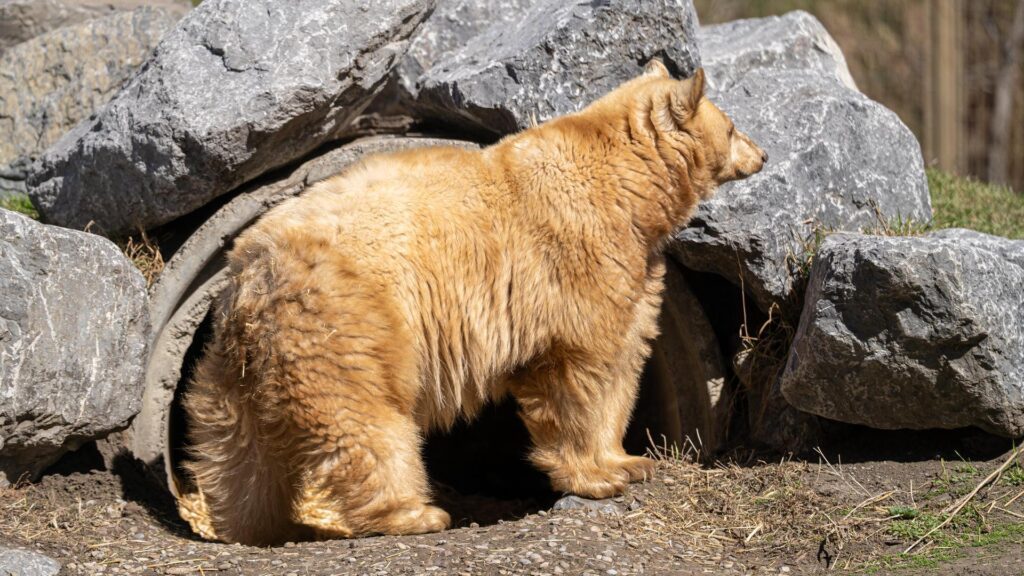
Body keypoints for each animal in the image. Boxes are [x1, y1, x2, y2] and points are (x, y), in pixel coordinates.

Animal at [179, 60, 767, 545]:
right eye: (733, 126)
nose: (762, 154)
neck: (627, 186)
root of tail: (255, 269)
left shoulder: (636, 266)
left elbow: (624, 357)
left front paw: (628, 461)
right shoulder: (574, 259)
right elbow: (578, 368)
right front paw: (595, 477)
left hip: (238, 358)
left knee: (234, 439)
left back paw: (246, 523)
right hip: (347, 322)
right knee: (363, 420)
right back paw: (415, 513)